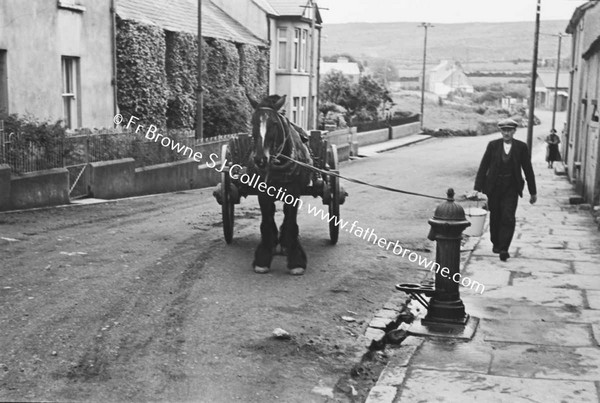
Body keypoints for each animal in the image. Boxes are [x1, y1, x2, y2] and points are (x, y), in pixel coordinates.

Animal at [246, 94, 312, 276]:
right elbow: (267, 221)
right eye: (253, 122)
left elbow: (290, 222)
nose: (260, 159)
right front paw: (263, 258)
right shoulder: (263, 193)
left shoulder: (294, 192)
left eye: (274, 123)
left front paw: (296, 260)